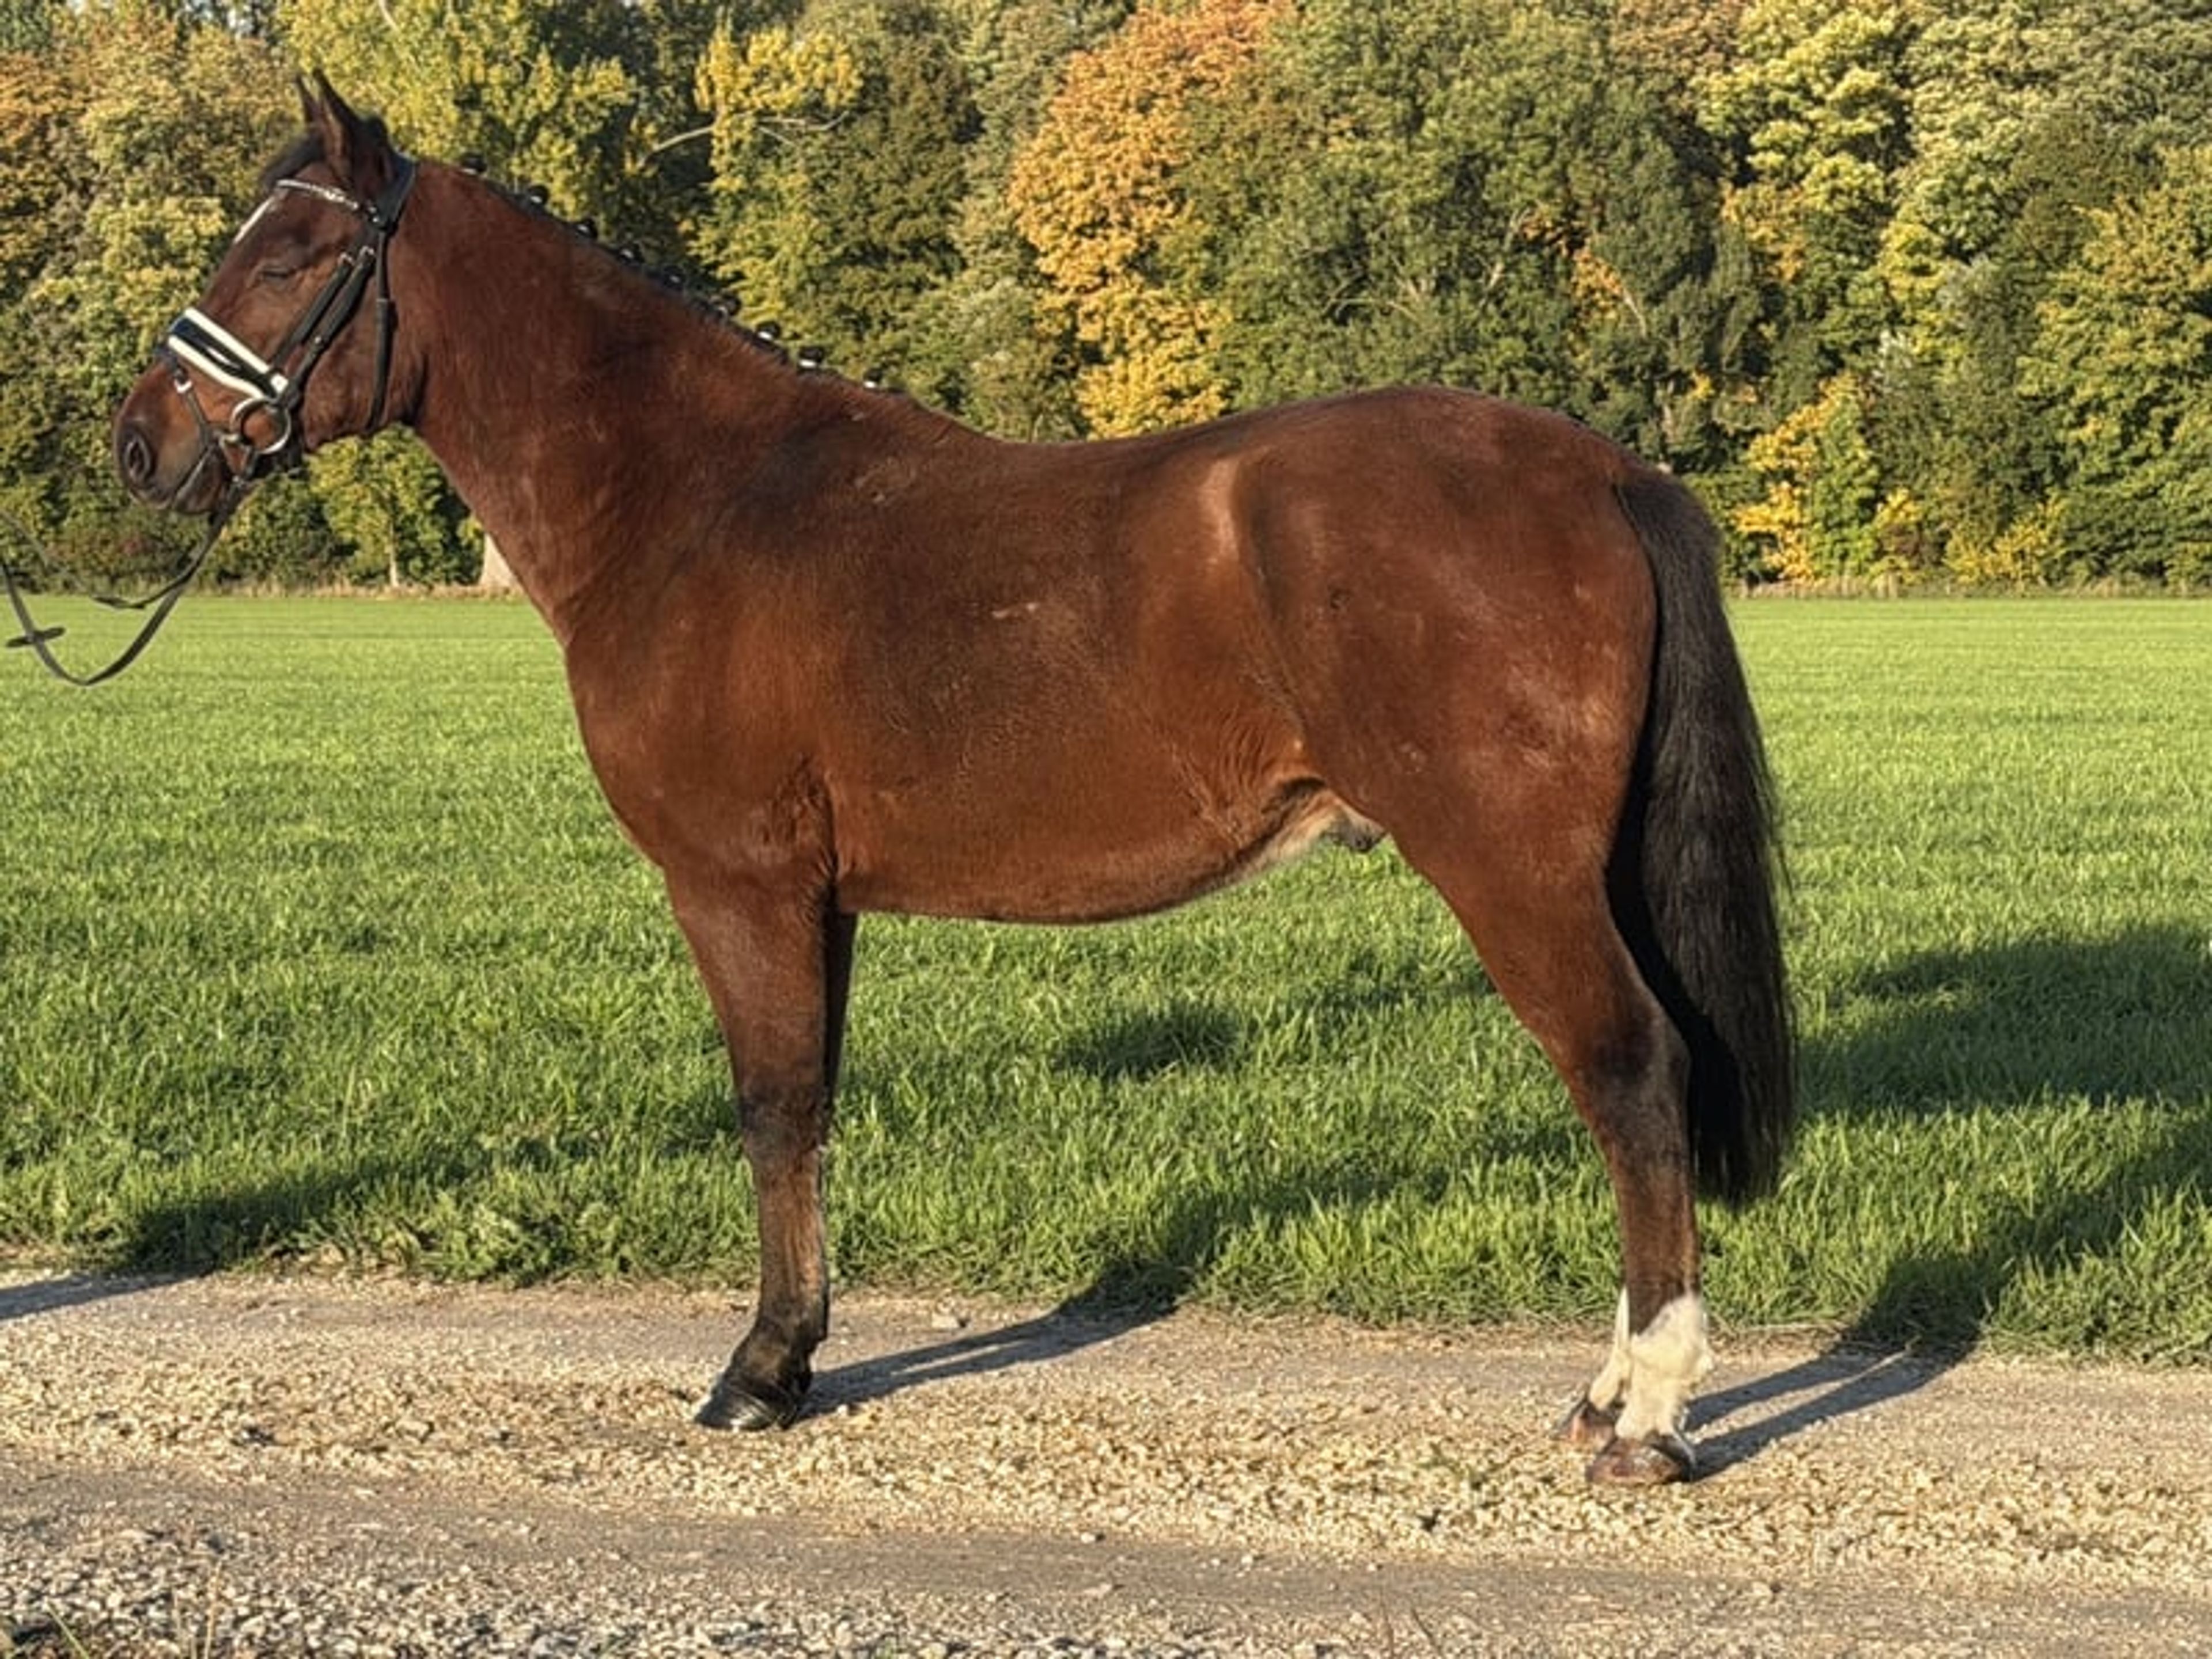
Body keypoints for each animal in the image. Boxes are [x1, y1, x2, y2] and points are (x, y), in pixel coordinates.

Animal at [113, 79, 1792, 1486]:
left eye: (291, 255)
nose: (141, 444)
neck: (696, 504)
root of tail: (1601, 470)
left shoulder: (735, 885)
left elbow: (770, 1103)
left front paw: (756, 1372)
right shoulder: (818, 898)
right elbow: (811, 1101)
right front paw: (794, 1354)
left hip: (1513, 875)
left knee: (1631, 1074)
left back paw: (1647, 1419)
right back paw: (1604, 1390)